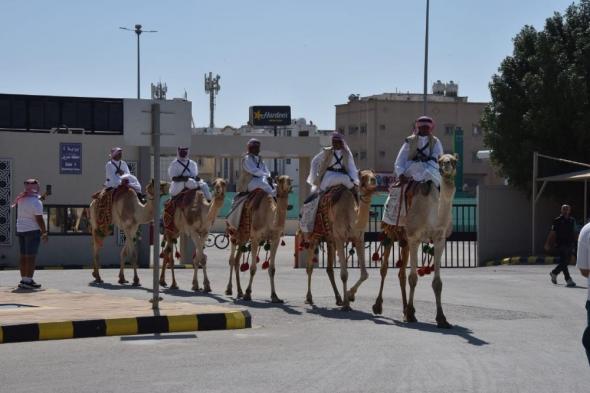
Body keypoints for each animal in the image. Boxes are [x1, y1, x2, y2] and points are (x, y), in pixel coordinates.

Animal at [306, 170, 380, 310]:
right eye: (363, 177)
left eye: (374, 176)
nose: (373, 182)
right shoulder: (340, 238)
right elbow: (344, 274)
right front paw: (346, 304)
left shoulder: (359, 239)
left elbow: (365, 274)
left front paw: (350, 296)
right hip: (314, 235)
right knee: (310, 267)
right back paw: (309, 298)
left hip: (330, 240)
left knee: (329, 269)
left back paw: (338, 298)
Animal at [374, 154, 458, 328]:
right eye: (440, 161)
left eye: (454, 161)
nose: (446, 165)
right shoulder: (414, 238)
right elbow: (413, 278)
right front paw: (411, 315)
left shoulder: (440, 240)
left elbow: (437, 283)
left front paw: (441, 318)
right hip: (390, 232)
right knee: (384, 269)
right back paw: (378, 306)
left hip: (404, 240)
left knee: (401, 273)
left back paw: (405, 308)